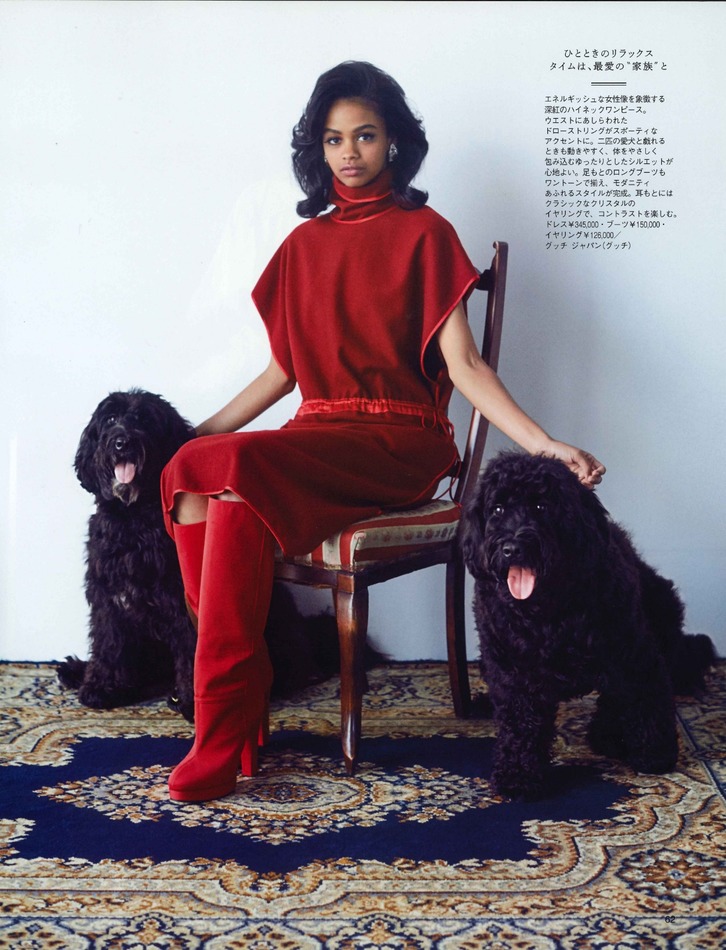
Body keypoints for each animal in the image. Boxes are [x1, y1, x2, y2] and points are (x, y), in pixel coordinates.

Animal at [460, 451, 715, 800]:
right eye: (497, 509)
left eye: (541, 507)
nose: (512, 548)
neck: (546, 611)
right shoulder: (514, 671)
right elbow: (518, 723)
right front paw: (517, 774)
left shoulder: (634, 655)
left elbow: (646, 700)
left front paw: (654, 753)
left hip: (661, 615)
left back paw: (608, 735)